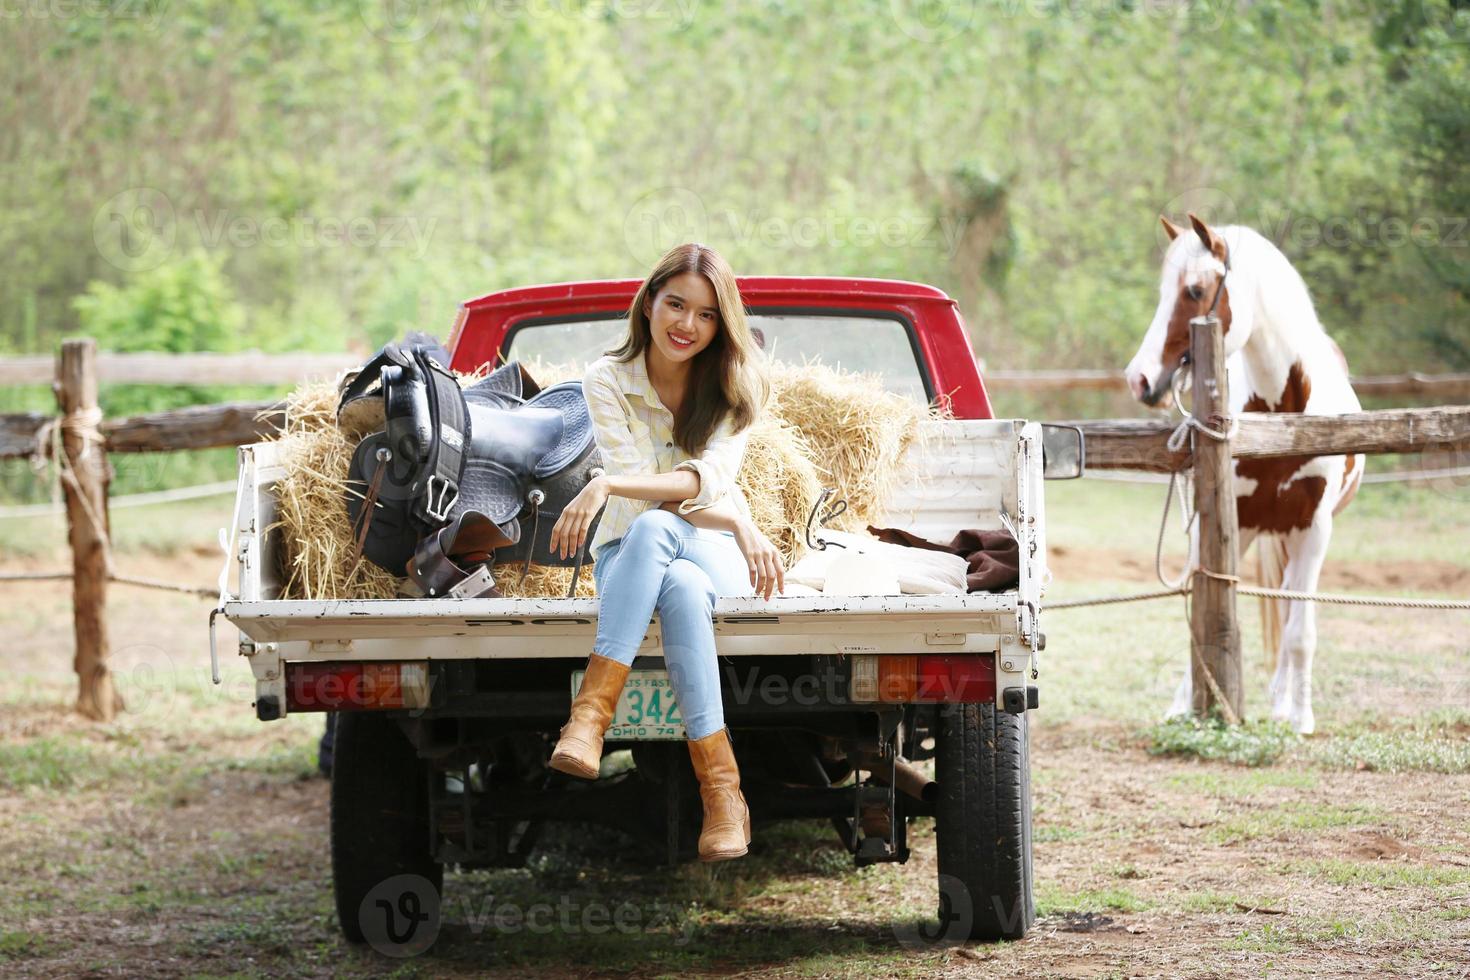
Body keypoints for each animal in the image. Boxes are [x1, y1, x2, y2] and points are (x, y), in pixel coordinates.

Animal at [1123, 214, 1364, 734]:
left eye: (1194, 290)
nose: (1139, 378)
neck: (1284, 417)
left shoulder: (1315, 530)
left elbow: (1300, 631)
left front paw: (1301, 717)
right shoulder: (1232, 523)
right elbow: (1202, 609)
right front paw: (1185, 706)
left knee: (1290, 604)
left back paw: (1283, 702)